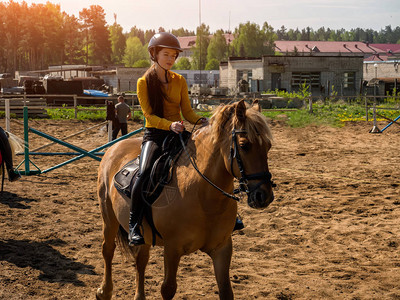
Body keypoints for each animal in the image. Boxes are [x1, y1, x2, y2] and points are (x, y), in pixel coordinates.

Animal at [97, 100, 276, 300]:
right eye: (244, 145)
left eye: (268, 146)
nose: (264, 196)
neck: (204, 198)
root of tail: (114, 147)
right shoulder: (172, 249)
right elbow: (168, 289)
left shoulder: (222, 247)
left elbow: (226, 291)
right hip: (109, 218)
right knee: (108, 250)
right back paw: (104, 291)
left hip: (144, 234)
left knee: (141, 260)